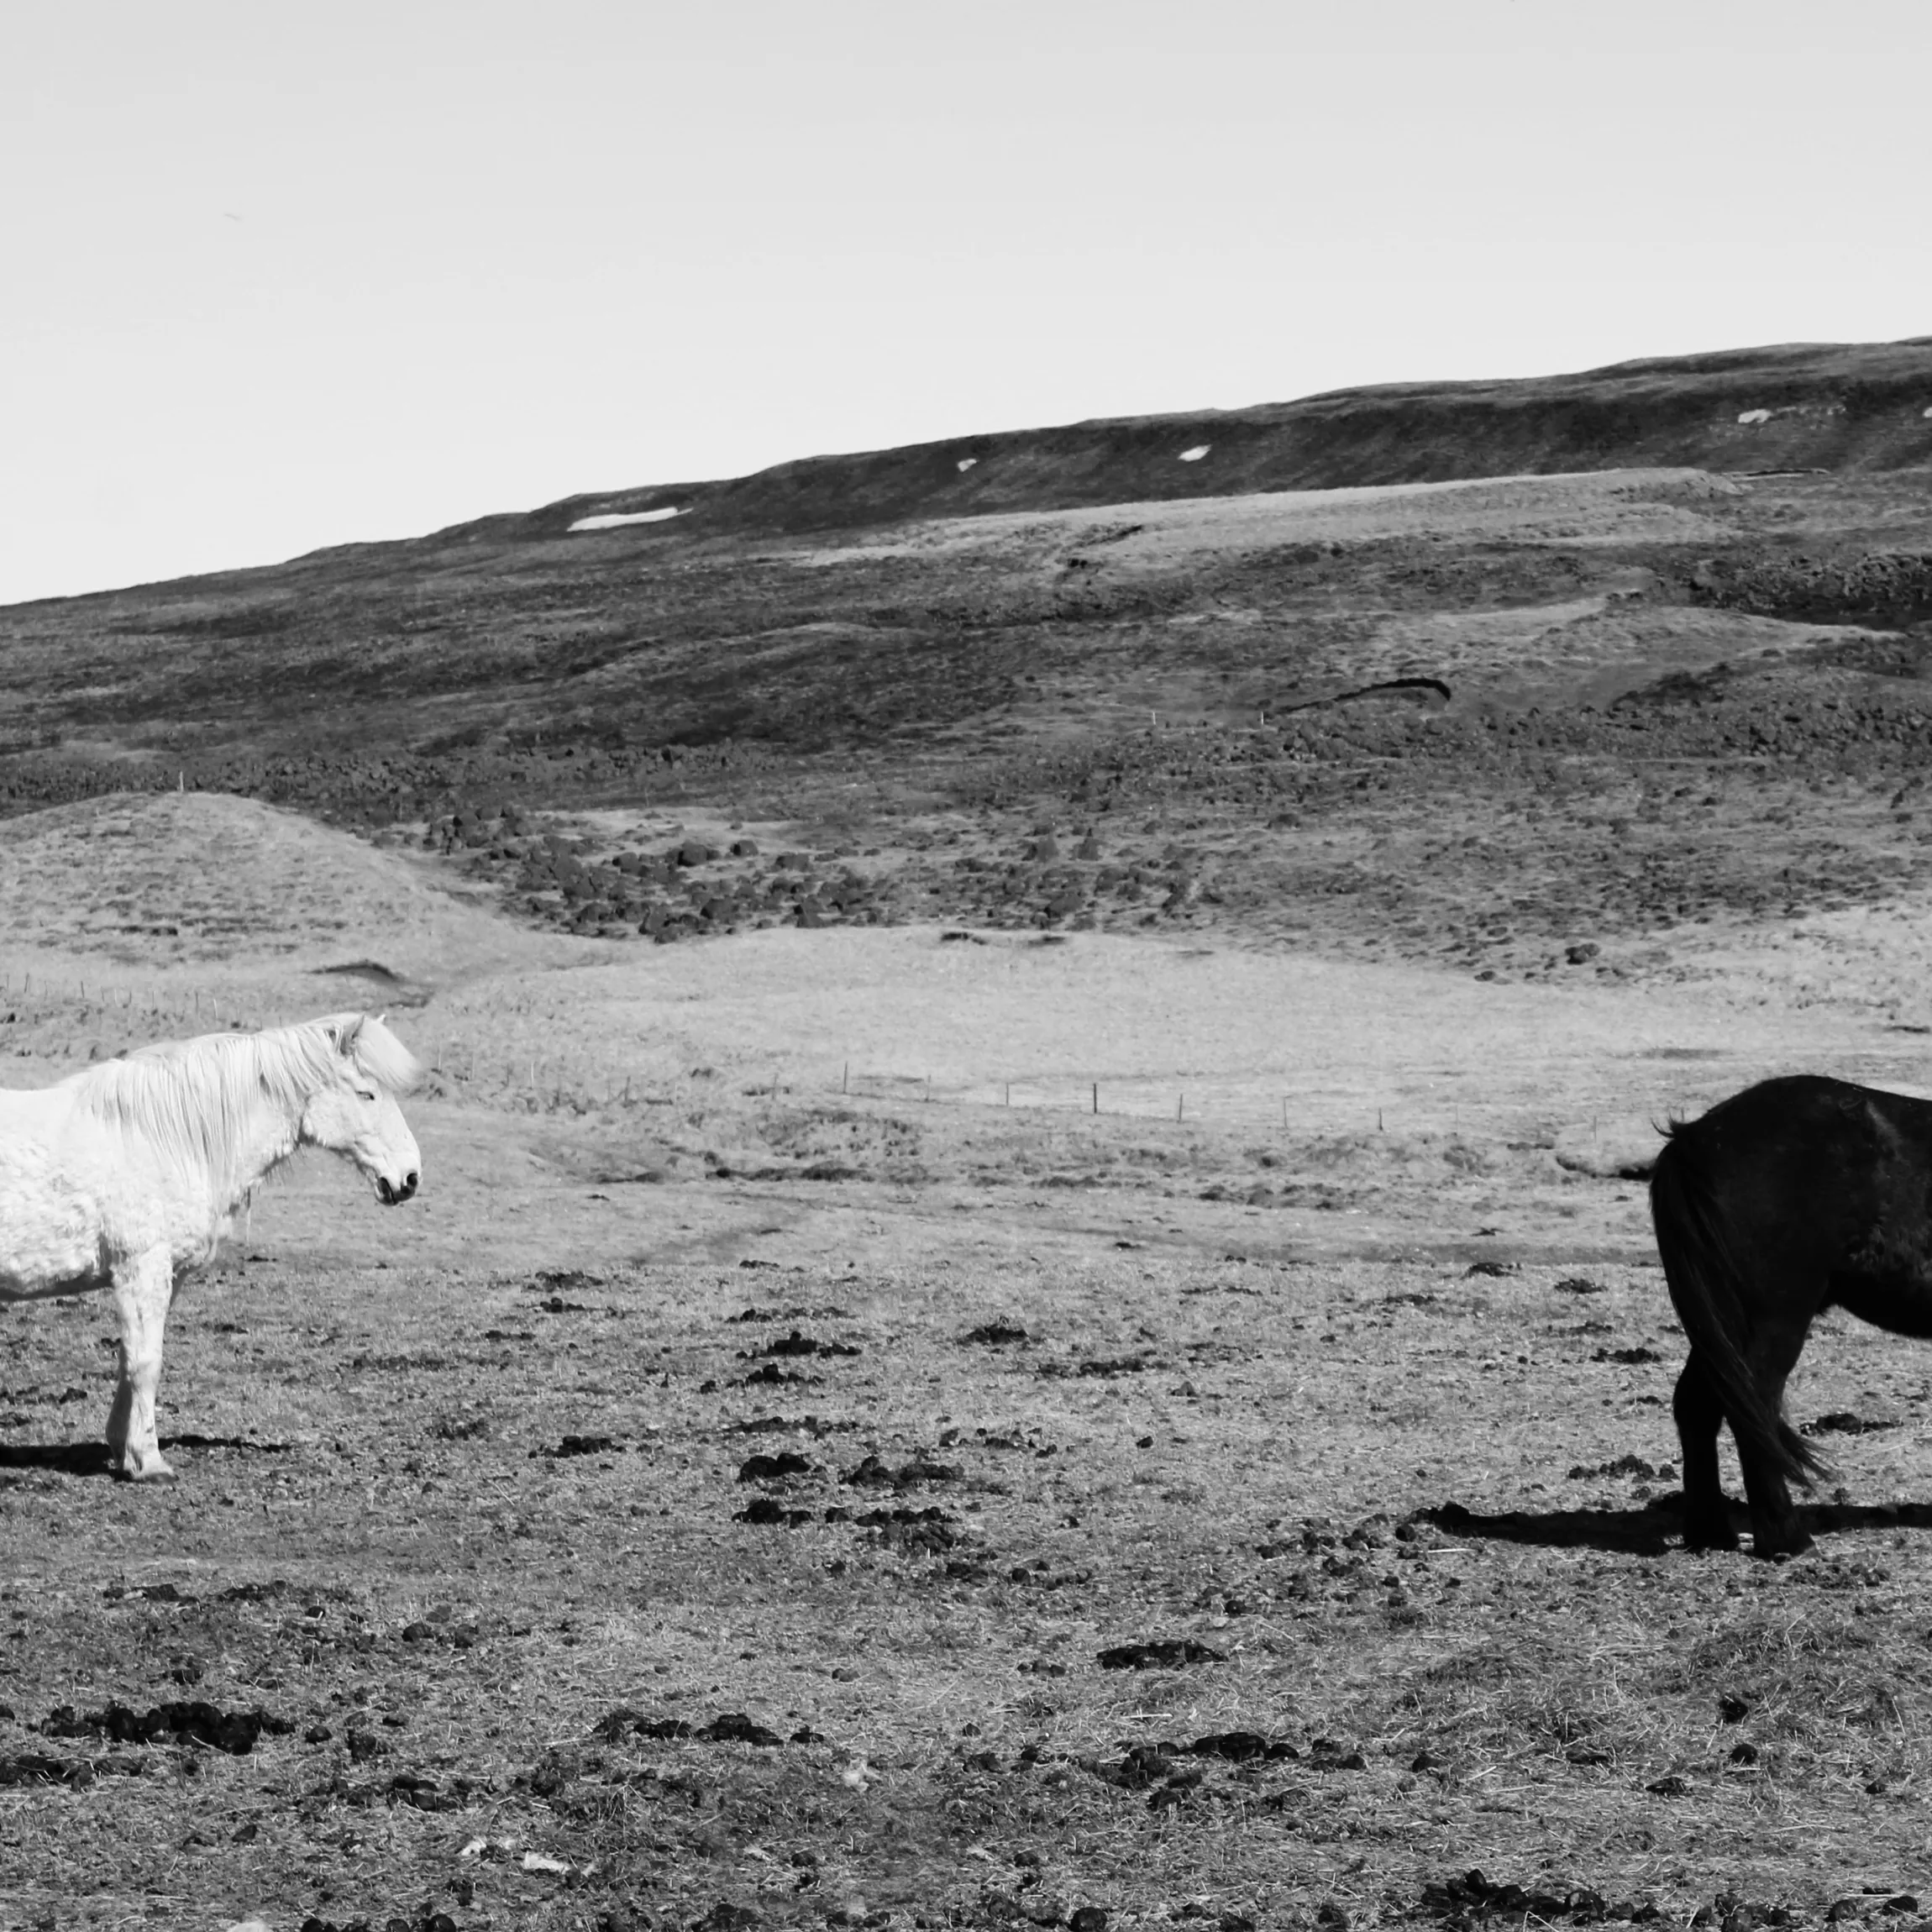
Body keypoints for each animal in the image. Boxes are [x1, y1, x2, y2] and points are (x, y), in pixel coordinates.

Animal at [0, 1012, 421, 1480]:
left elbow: (131, 1362)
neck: (161, 1139)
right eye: (367, 1093)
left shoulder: (165, 1275)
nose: (410, 1177)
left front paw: (125, 1450)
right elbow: (145, 1363)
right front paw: (149, 1461)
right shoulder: (141, 1270)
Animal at [1650, 1072, 1932, 1558]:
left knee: (1697, 1404)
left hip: (1723, 1324)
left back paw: (1711, 1533)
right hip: (1776, 1317)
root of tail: (1698, 1139)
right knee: (1756, 1405)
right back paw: (1786, 1537)